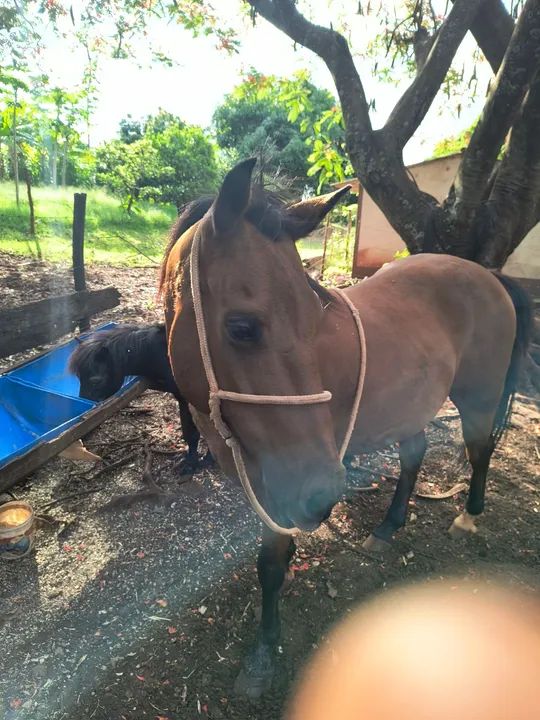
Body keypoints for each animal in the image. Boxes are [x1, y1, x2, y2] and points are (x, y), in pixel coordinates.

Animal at [160, 158, 532, 697]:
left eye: (314, 320)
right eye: (243, 327)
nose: (322, 495)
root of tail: (492, 276)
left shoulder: (284, 482)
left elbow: (269, 566)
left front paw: (264, 651)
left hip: (478, 398)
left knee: (480, 450)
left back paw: (469, 516)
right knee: (415, 453)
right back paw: (389, 526)